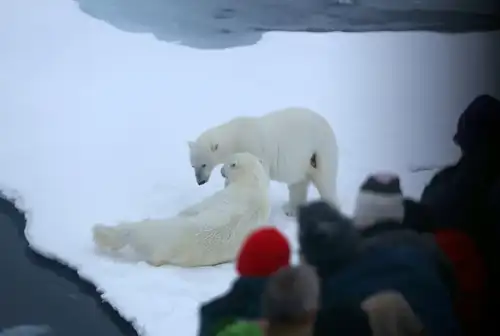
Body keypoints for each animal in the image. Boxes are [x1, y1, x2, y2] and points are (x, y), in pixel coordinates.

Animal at [90, 153, 270, 268]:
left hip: (158, 234)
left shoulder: (222, 197)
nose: (221, 171)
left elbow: (195, 208)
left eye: (226, 163)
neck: (252, 183)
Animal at [188, 107, 340, 218]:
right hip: (302, 162)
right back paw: (290, 209)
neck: (235, 138)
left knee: (325, 181)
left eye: (204, 164)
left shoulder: (253, 148)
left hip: (320, 151)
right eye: (193, 165)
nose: (200, 181)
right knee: (298, 183)